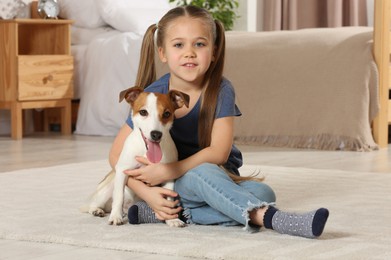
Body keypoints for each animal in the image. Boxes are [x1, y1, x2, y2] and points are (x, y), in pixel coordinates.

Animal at [83, 86, 191, 228]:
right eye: (143, 112)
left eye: (167, 114)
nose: (156, 134)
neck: (146, 151)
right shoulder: (122, 170)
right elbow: (119, 196)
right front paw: (116, 217)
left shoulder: (168, 176)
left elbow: (169, 198)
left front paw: (172, 219)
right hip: (107, 187)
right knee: (93, 204)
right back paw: (97, 210)